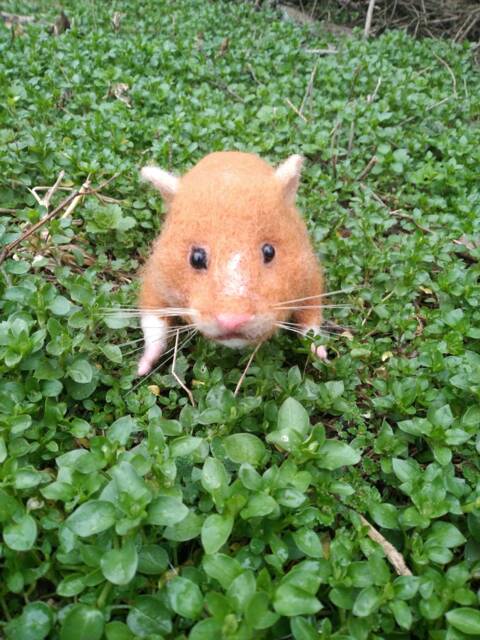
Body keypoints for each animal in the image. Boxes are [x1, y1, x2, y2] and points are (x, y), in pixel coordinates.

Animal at [137, 151, 326, 376]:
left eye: (269, 252)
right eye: (196, 258)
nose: (232, 320)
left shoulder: (309, 273)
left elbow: (311, 315)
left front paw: (319, 352)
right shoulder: (157, 275)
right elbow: (152, 312)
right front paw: (144, 364)